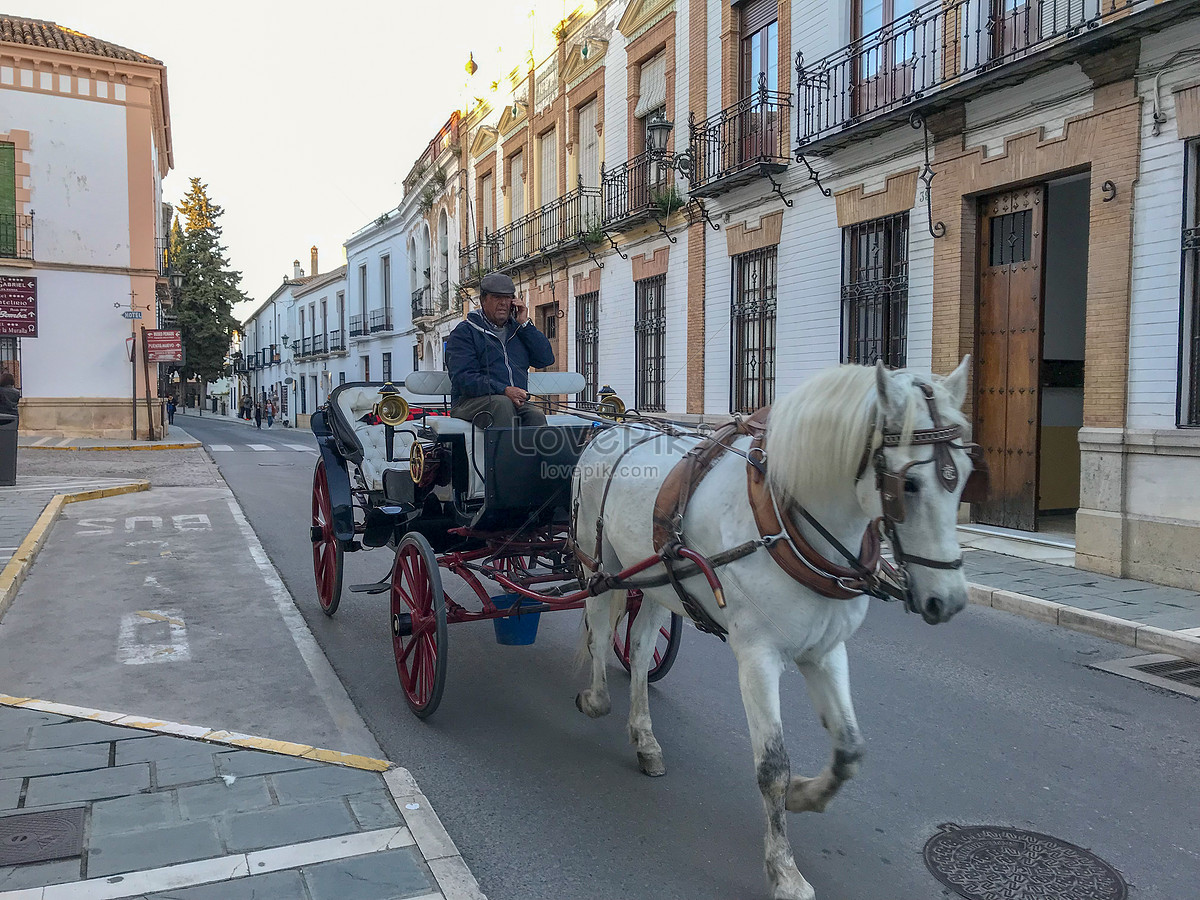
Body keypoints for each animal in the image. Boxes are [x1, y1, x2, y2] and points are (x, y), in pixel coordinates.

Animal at [576, 360, 979, 900]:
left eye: (965, 477)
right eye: (909, 485)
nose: (949, 601)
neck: (786, 522)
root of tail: (612, 427)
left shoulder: (826, 650)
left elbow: (850, 750)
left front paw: (806, 796)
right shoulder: (757, 657)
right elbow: (772, 768)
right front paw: (784, 871)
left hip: (660, 582)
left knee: (639, 649)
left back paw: (645, 739)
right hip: (601, 561)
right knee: (600, 628)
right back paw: (596, 697)